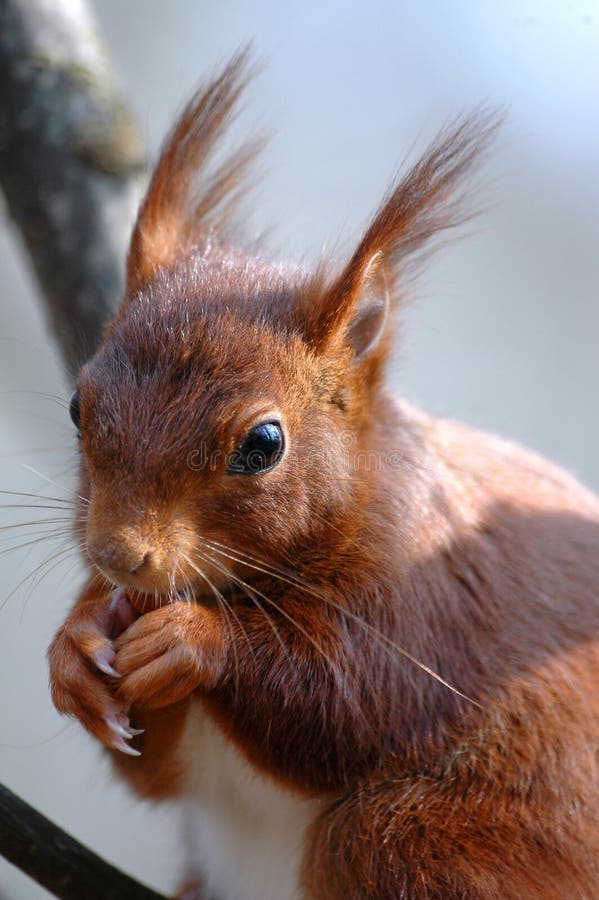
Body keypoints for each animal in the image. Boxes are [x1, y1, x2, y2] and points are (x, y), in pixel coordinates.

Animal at [48, 49, 599, 899]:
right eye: (79, 406)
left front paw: (195, 641)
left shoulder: (433, 595)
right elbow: (152, 771)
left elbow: (355, 706)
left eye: (263, 443)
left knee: (363, 834)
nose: (118, 554)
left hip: (424, 833)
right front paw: (74, 645)